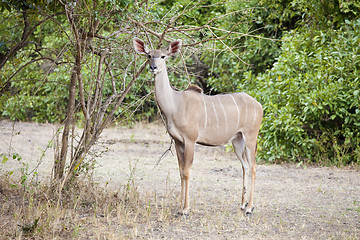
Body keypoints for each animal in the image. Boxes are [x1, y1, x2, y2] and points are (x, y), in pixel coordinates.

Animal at [134, 38, 262, 216]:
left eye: (163, 56)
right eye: (149, 55)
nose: (153, 67)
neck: (175, 104)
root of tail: (259, 105)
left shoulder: (190, 140)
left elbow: (187, 172)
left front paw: (185, 209)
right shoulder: (178, 141)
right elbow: (181, 171)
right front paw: (180, 207)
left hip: (251, 136)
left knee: (253, 167)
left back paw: (250, 208)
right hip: (237, 139)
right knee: (244, 166)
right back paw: (242, 204)